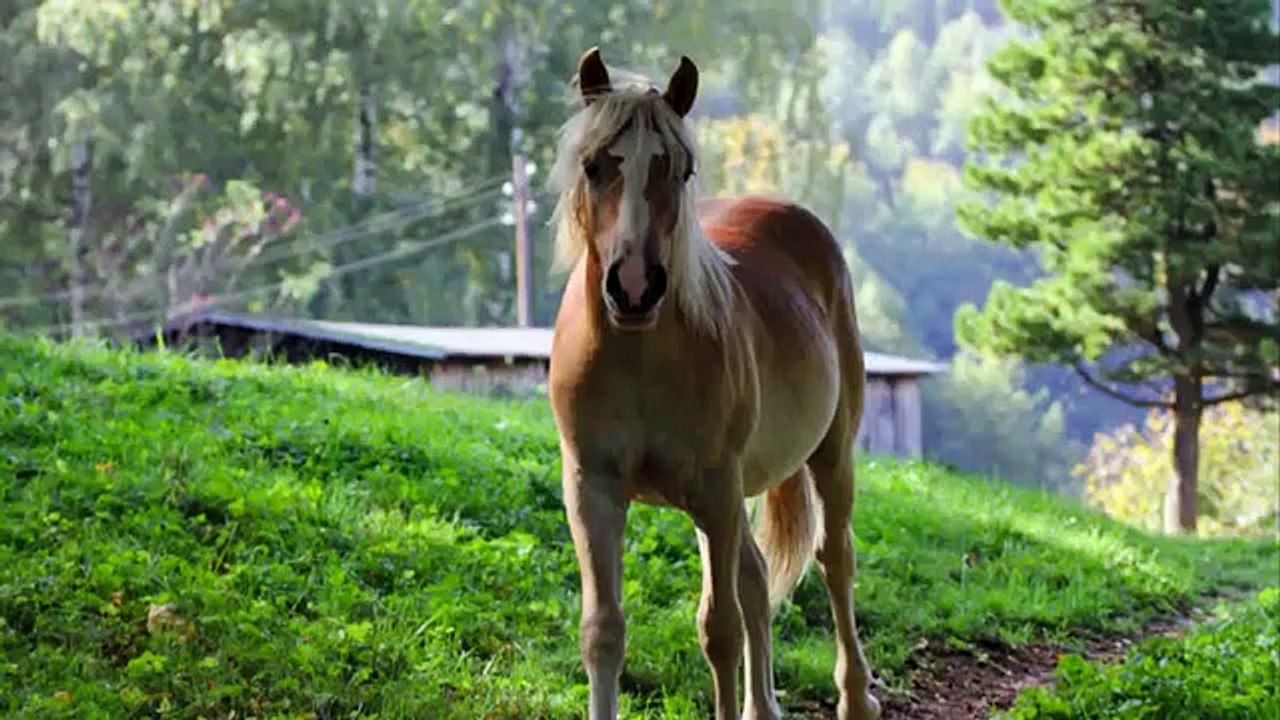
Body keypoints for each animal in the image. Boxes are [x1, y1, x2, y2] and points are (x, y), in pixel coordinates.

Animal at [545, 46, 881, 720]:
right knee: (755, 577)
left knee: (835, 560)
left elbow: (718, 631)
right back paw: (763, 706)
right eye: (594, 166)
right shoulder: (592, 490)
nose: (634, 287)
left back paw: (856, 697)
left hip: (829, 454)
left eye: (681, 169)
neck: (638, 360)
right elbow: (603, 631)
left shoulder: (715, 493)